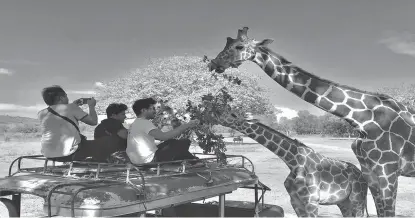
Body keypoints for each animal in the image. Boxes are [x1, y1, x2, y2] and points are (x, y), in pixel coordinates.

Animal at [210, 105, 368, 216]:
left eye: (233, 114)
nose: (215, 112)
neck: (293, 161)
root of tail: (362, 175)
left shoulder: (312, 201)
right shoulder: (295, 201)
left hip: (357, 199)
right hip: (344, 202)